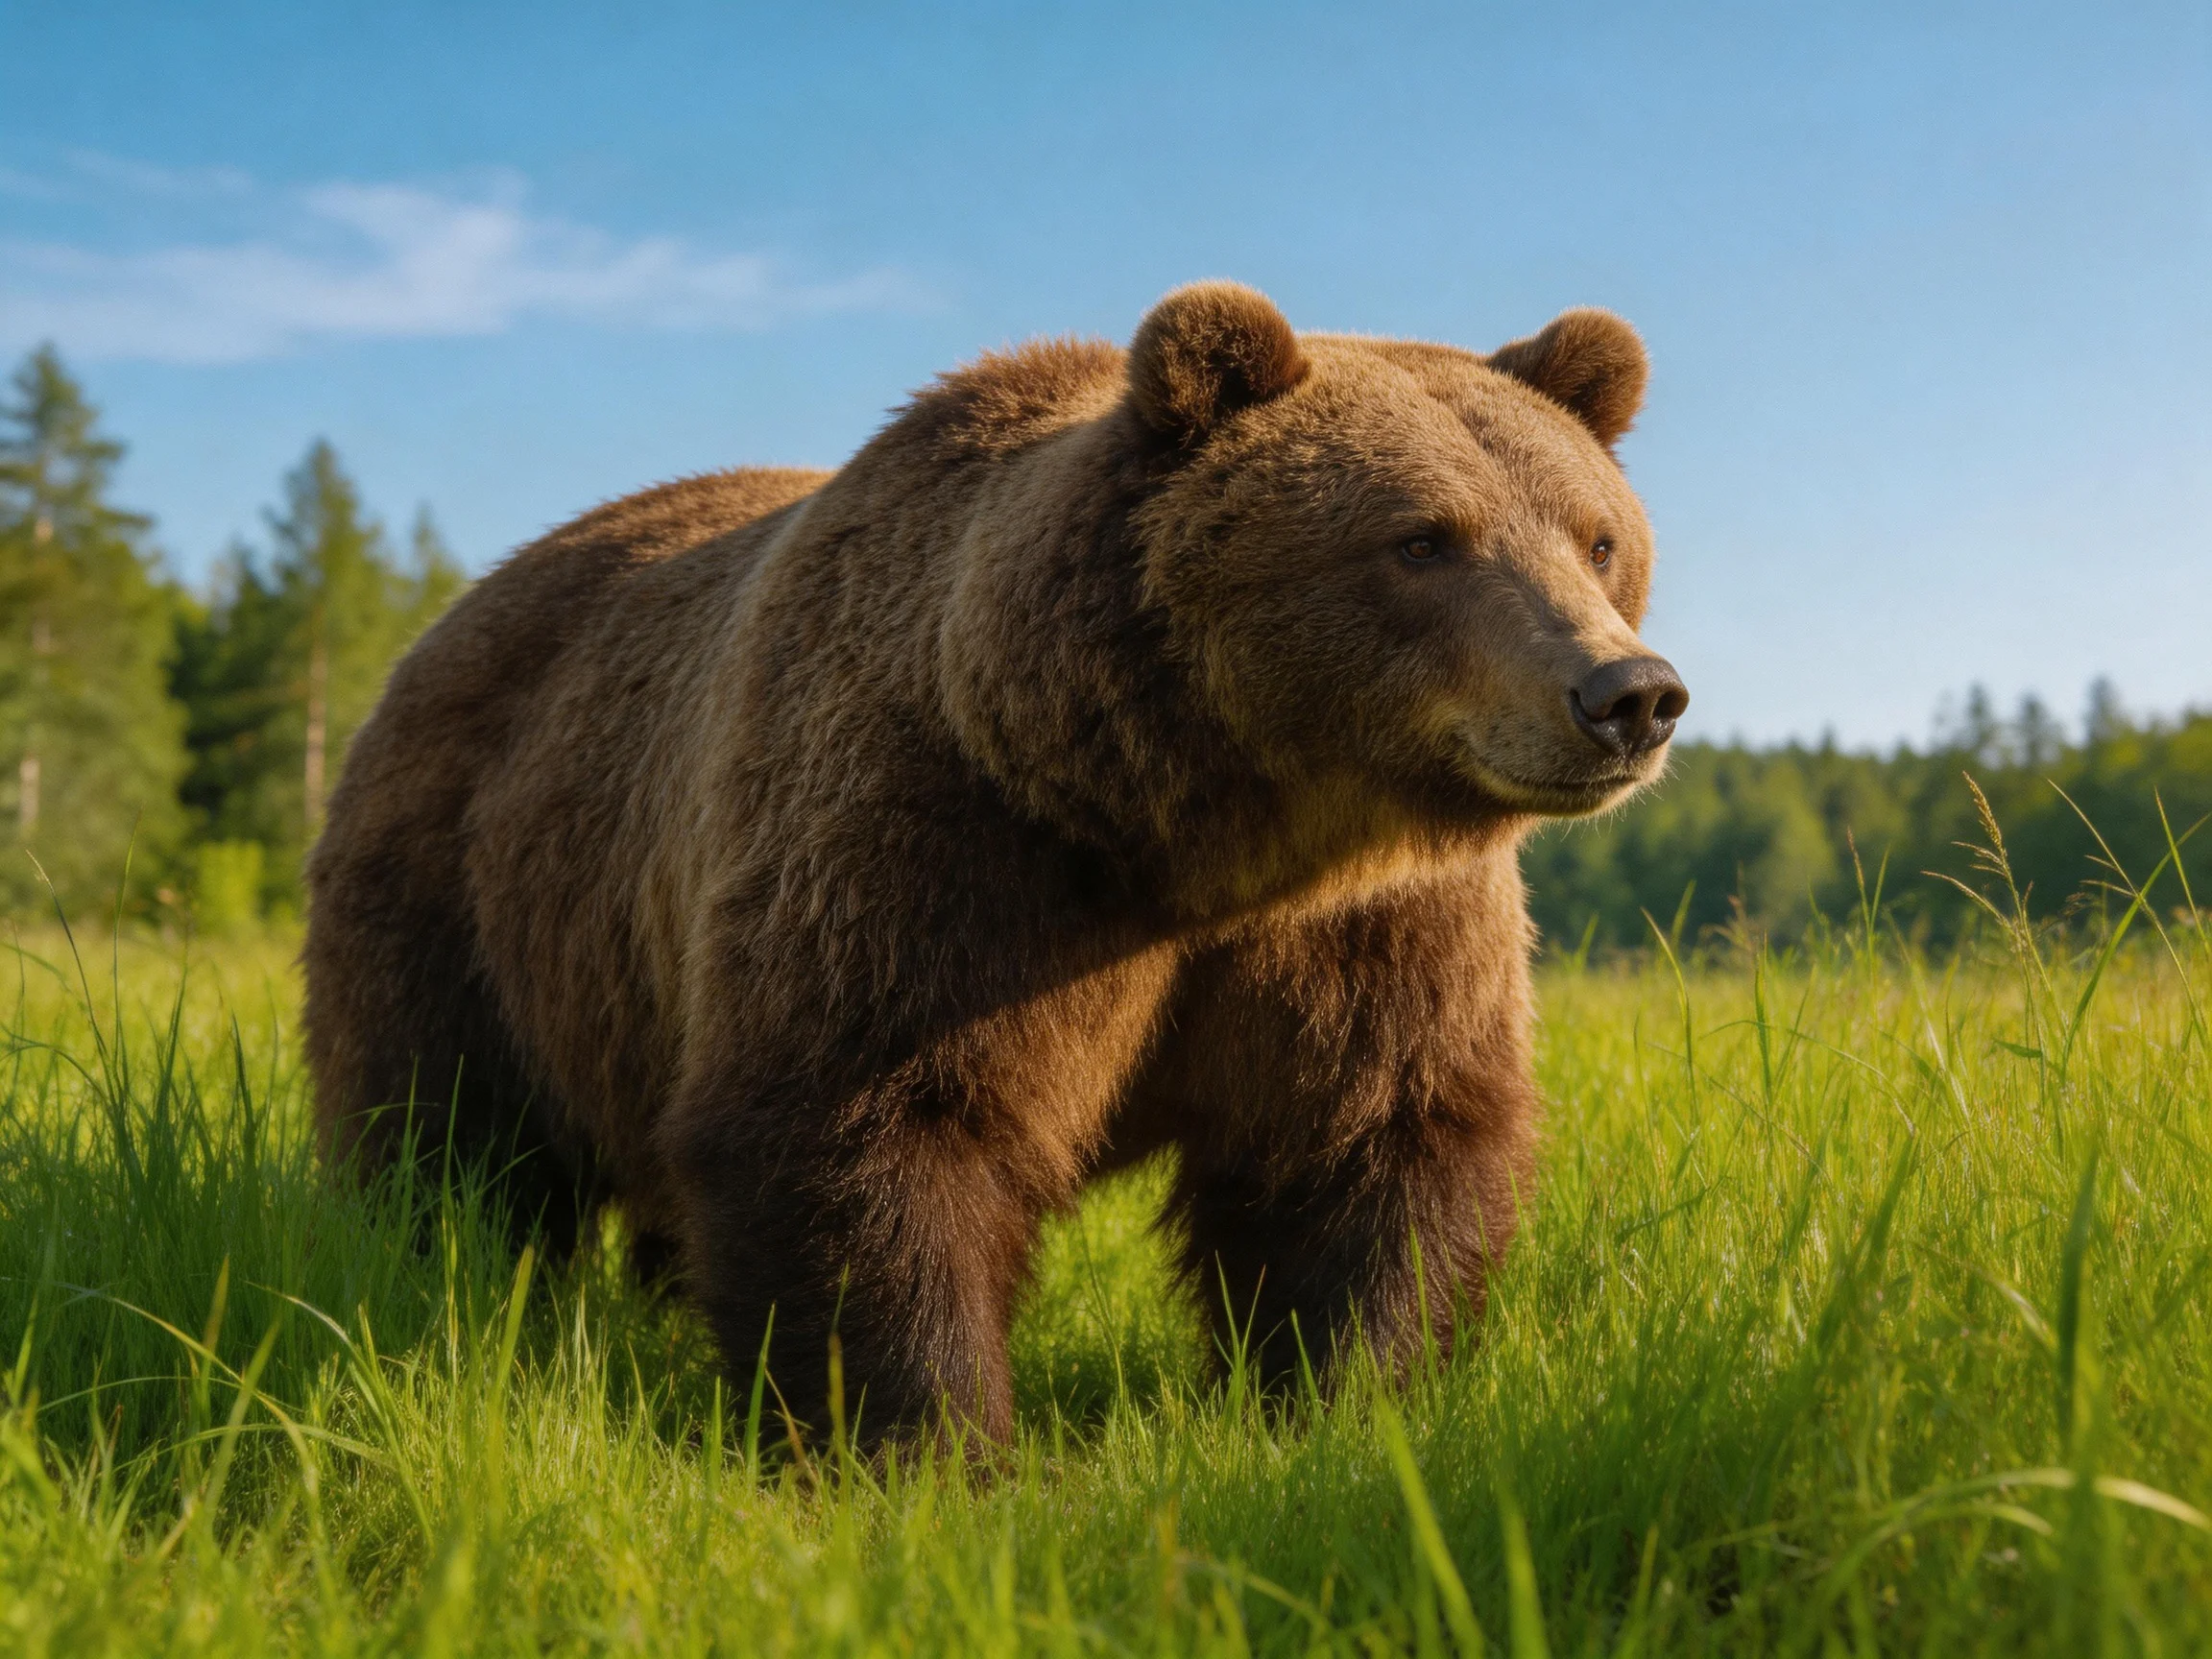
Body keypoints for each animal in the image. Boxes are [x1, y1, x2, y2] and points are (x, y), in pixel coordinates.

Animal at [303, 282, 1686, 1445]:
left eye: (1596, 537)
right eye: (1423, 539)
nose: (1627, 693)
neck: (1203, 833)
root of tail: (452, 615)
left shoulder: (1368, 930)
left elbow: (1376, 1143)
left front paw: (1343, 1408)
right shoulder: (941, 846)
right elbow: (871, 1121)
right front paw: (927, 1447)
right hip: (468, 887)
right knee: (441, 1133)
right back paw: (424, 1272)